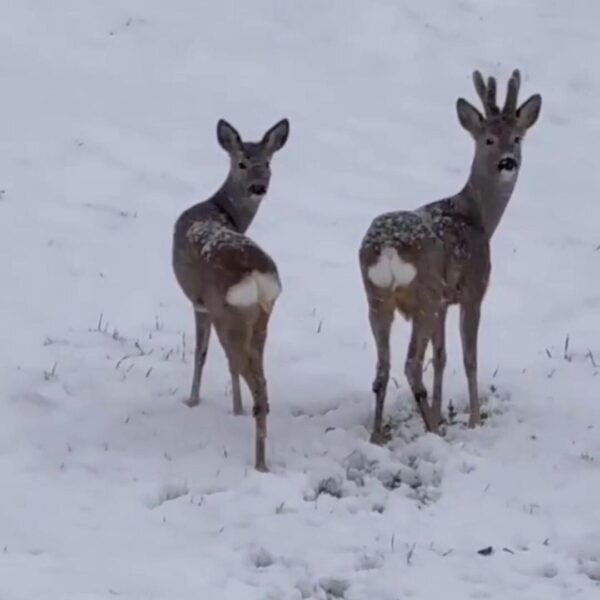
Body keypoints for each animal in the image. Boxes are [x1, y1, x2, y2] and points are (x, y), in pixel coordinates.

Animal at [172, 118, 290, 474]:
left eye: (267, 163)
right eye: (243, 163)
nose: (259, 187)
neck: (220, 209)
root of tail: (256, 276)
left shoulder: (200, 304)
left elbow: (200, 353)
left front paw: (192, 401)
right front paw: (234, 410)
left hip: (229, 314)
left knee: (249, 378)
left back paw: (259, 464)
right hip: (261, 318)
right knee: (258, 380)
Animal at [358, 71, 540, 446]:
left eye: (516, 138)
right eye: (488, 139)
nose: (508, 162)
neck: (478, 216)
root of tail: (388, 248)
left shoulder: (444, 301)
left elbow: (441, 357)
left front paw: (442, 414)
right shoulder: (472, 290)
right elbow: (469, 357)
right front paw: (473, 420)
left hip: (377, 297)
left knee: (383, 366)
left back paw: (379, 435)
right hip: (421, 296)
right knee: (411, 364)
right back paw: (429, 429)